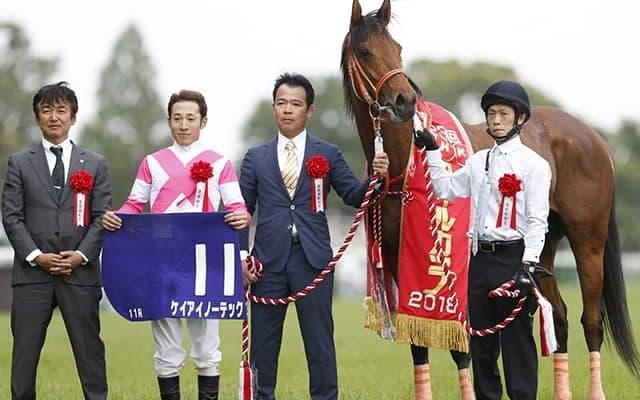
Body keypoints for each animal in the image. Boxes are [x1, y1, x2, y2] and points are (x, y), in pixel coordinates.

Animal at [341, 1, 639, 399]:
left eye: (398, 49)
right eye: (364, 51)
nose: (404, 101)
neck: (406, 168)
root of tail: (594, 138)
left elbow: (460, 346)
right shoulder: (397, 260)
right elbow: (418, 342)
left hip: (588, 240)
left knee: (590, 321)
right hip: (542, 248)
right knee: (558, 317)